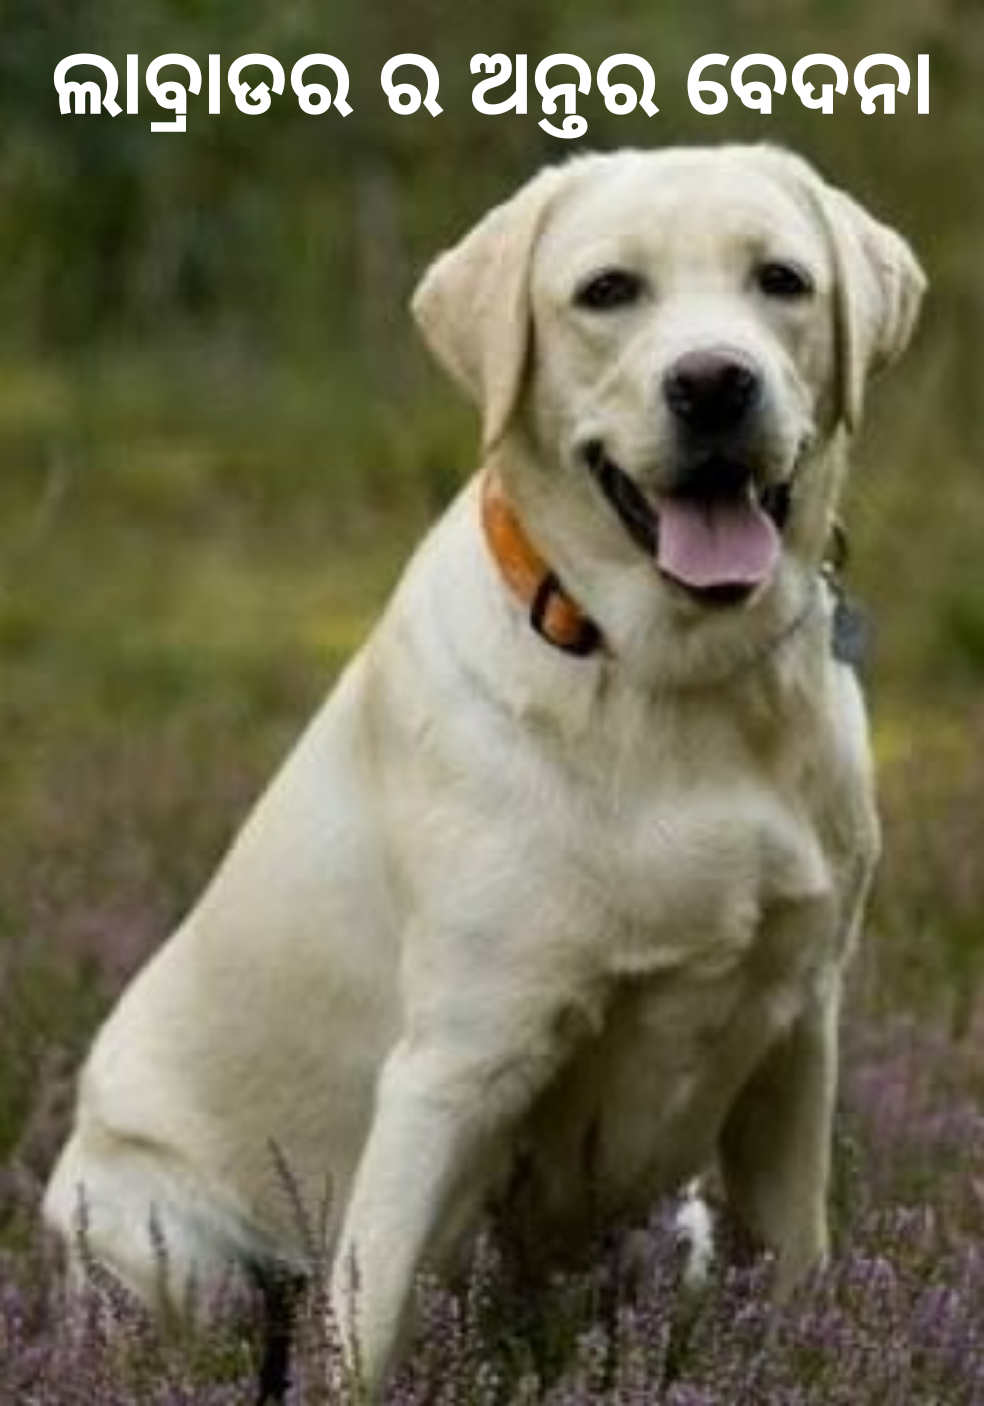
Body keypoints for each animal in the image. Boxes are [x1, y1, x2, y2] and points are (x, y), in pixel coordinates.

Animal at [44, 145, 925, 1398]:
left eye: (783, 280)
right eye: (608, 291)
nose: (715, 382)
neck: (674, 677)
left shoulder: (798, 1032)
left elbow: (796, 1273)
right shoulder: (455, 1063)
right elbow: (364, 1333)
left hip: (678, 1227)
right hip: (170, 1247)